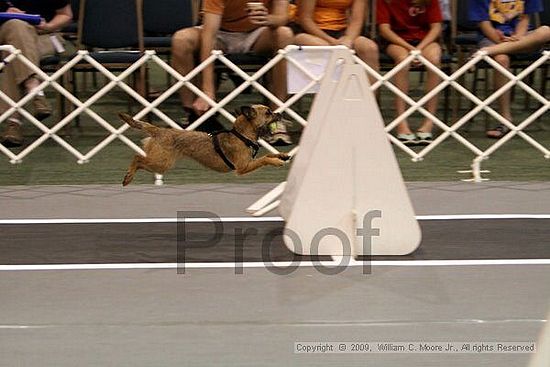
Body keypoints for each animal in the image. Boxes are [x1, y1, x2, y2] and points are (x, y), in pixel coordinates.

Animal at [120, 106, 292, 187]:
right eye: (268, 113)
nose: (281, 114)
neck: (241, 135)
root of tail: (159, 130)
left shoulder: (248, 163)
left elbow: (269, 154)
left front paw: (282, 155)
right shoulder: (243, 167)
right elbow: (264, 159)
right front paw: (277, 162)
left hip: (160, 162)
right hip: (161, 163)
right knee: (137, 158)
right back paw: (128, 176)